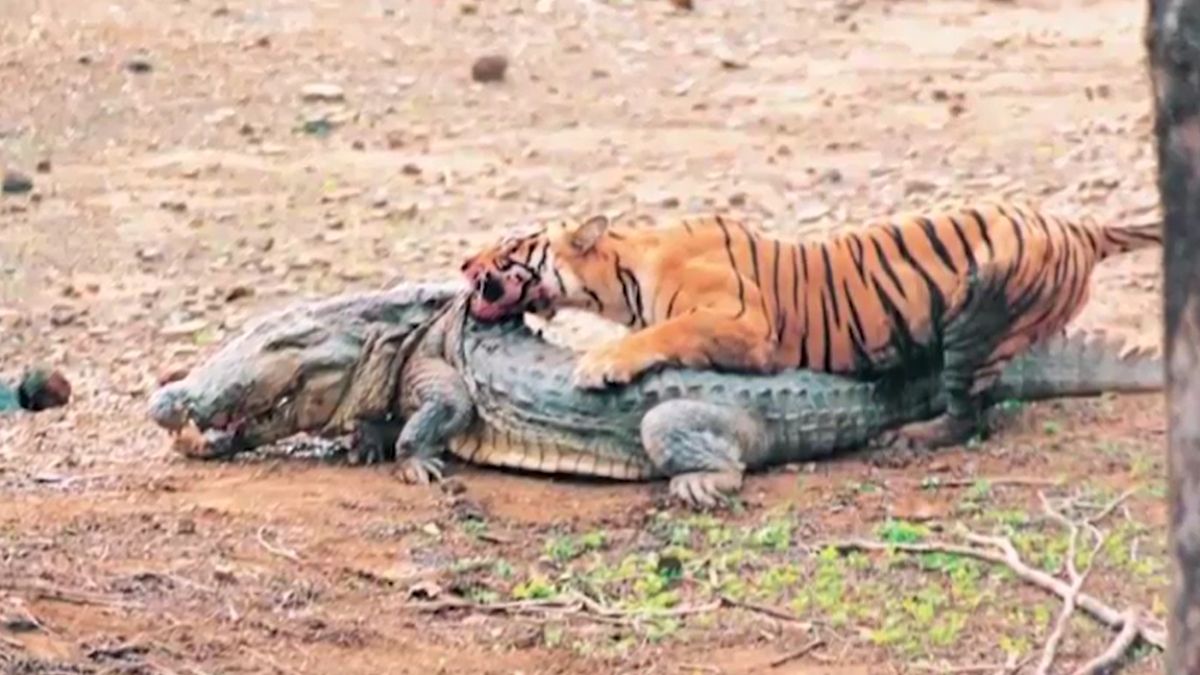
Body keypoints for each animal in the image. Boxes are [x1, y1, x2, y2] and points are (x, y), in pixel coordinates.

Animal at [459, 200, 1161, 449]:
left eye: (511, 245)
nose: (464, 263)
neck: (625, 271)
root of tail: (1082, 226)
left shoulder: (745, 325)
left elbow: (662, 333)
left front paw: (601, 363)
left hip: (982, 310)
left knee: (970, 411)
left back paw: (910, 438)